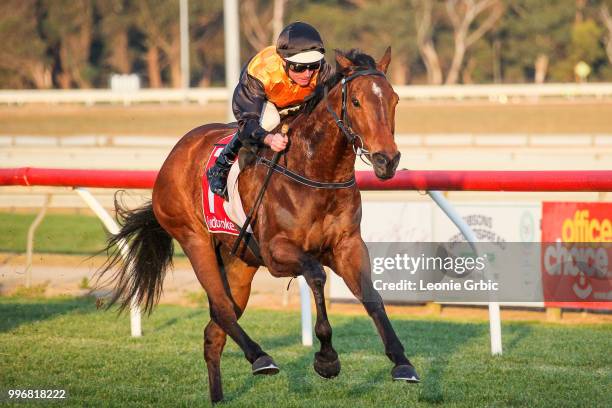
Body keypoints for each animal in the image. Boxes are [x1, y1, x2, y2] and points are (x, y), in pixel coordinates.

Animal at [97, 47, 420, 402]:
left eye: (394, 99)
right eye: (358, 102)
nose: (387, 160)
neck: (316, 172)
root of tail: (174, 154)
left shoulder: (347, 246)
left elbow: (372, 296)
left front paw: (402, 362)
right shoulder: (277, 253)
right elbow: (316, 276)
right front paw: (326, 358)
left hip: (239, 264)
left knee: (214, 332)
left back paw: (220, 396)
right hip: (194, 240)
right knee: (222, 309)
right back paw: (260, 357)